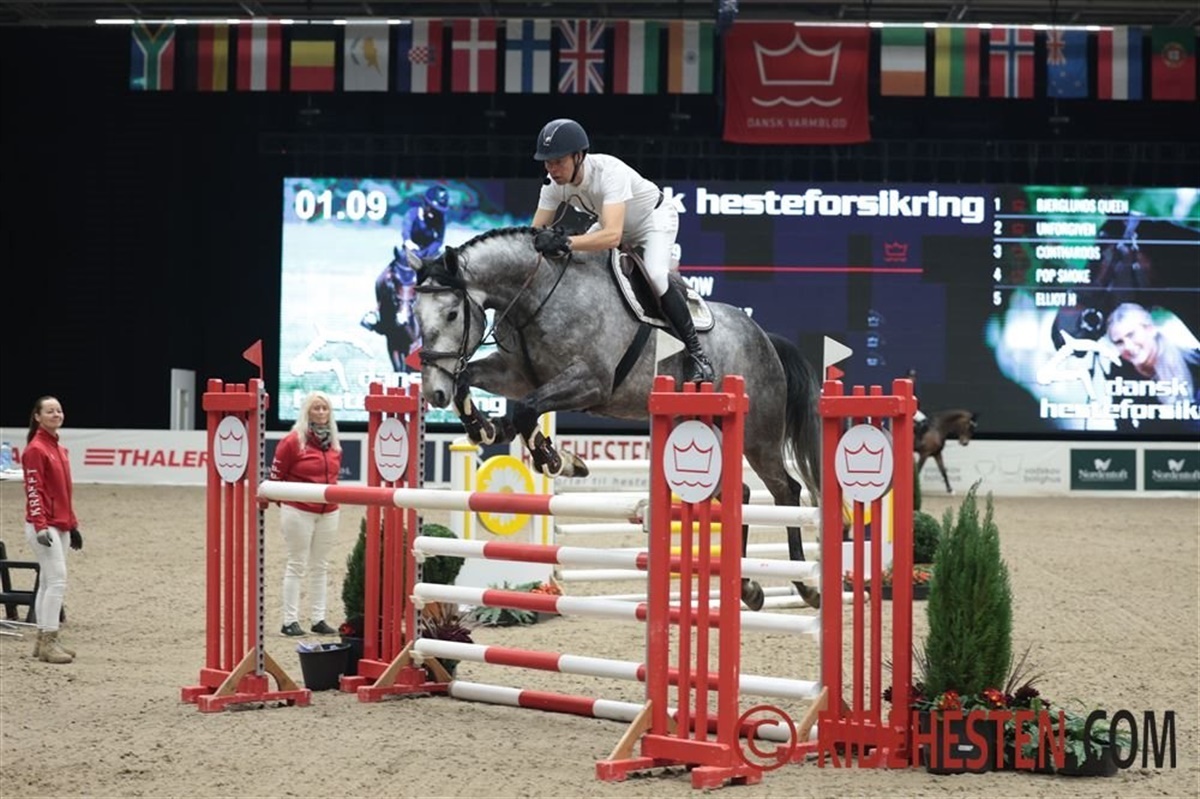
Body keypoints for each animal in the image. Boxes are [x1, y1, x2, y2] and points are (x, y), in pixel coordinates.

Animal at [409, 226, 823, 610]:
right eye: (416, 315)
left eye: (451, 313)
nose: (432, 393)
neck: (537, 297)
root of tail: (764, 338)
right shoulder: (515, 374)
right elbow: (470, 380)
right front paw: (488, 428)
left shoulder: (591, 382)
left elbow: (527, 409)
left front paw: (555, 460)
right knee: (741, 494)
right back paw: (747, 587)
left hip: (758, 437)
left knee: (786, 490)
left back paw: (806, 587)